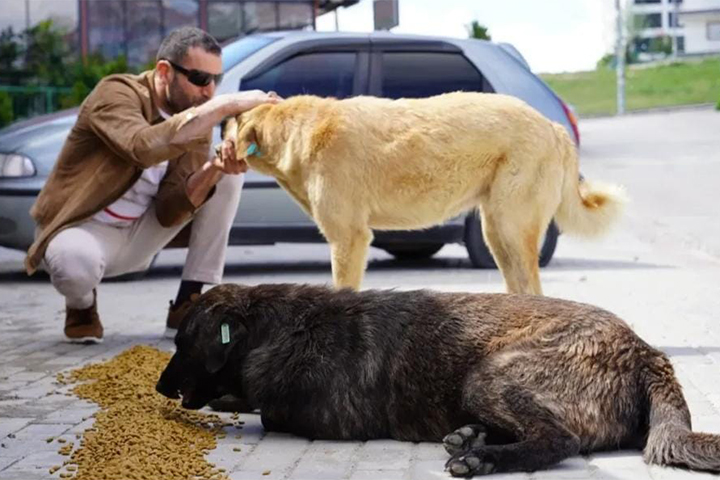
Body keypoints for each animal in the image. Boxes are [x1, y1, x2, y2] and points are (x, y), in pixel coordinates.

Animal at [156, 284, 720, 476]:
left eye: (182, 343)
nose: (160, 389)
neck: (282, 325)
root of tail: (646, 352)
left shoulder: (306, 416)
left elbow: (258, 408)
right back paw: (472, 438)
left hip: (488, 374)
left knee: (559, 440)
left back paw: (483, 458)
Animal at [225, 93, 624, 296]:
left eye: (228, 124)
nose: (217, 146)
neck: (298, 129)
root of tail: (552, 125)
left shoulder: (348, 238)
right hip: (496, 232)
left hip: (511, 227)